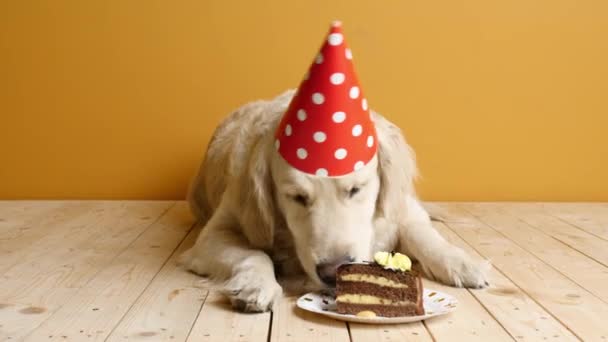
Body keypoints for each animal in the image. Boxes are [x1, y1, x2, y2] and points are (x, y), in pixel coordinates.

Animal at [179, 90, 490, 312]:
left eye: (355, 189)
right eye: (297, 197)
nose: (333, 272)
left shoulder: (402, 208)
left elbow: (424, 235)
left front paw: (462, 263)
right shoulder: (216, 231)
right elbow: (253, 254)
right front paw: (254, 285)